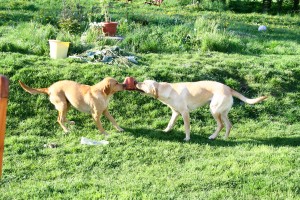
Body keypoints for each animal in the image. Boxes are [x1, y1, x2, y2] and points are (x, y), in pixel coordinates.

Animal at [136, 79, 268, 141]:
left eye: (144, 83)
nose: (136, 82)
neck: (166, 91)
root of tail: (229, 88)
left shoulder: (185, 113)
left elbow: (187, 127)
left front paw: (187, 138)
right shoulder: (175, 113)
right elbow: (170, 124)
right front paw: (165, 131)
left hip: (214, 110)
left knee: (221, 125)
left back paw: (213, 137)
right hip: (222, 112)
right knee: (229, 125)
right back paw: (224, 138)